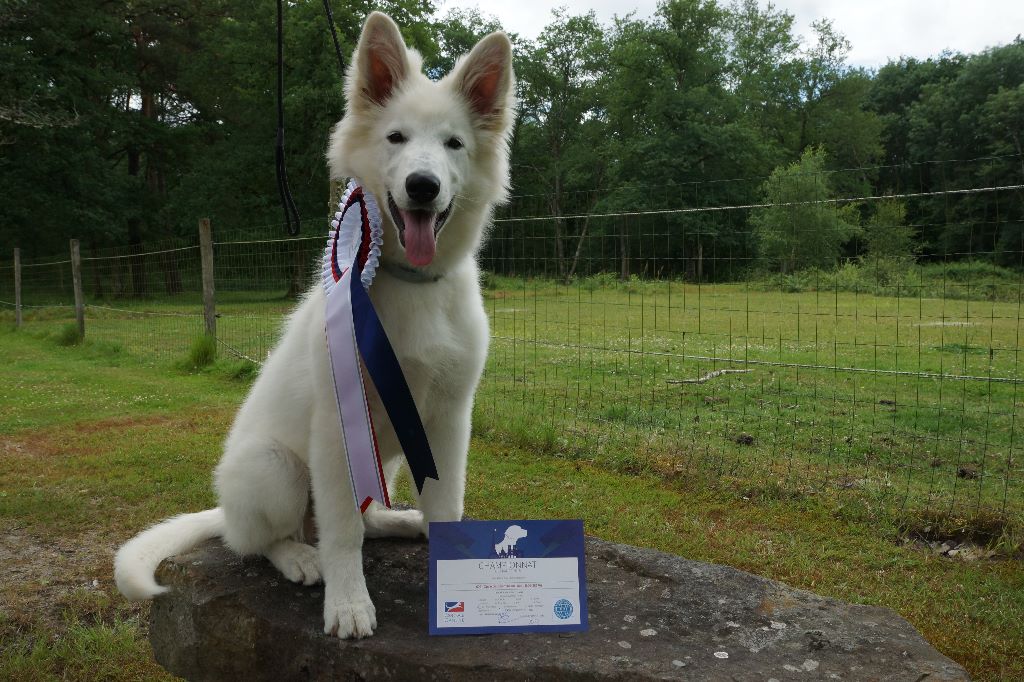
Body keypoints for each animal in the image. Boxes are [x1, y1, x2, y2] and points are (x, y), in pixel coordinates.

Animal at [115, 10, 516, 638]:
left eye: (454, 144)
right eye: (396, 138)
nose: (423, 186)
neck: (409, 283)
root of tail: (225, 508)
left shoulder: (448, 420)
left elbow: (444, 507)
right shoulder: (335, 425)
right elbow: (343, 534)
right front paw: (349, 605)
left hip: (385, 458)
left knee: (365, 517)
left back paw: (400, 521)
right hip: (275, 468)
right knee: (264, 540)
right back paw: (301, 557)